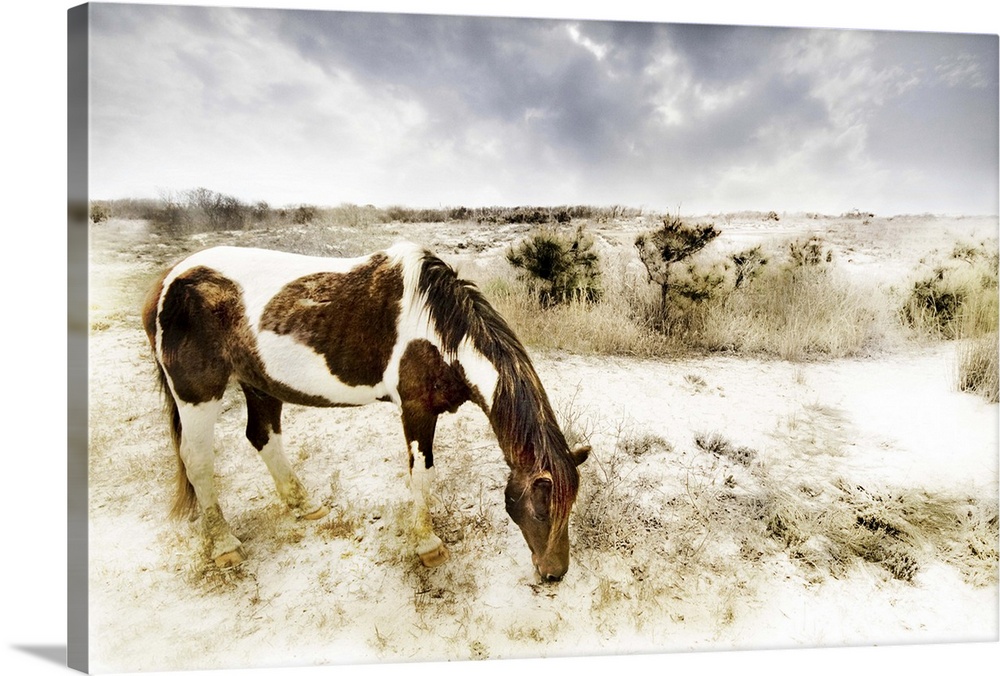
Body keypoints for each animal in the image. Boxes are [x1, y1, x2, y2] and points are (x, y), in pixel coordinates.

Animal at [145, 242, 588, 580]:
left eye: (569, 508)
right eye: (542, 510)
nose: (554, 574)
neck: (438, 328)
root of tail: (167, 281)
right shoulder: (416, 411)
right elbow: (422, 475)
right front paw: (427, 545)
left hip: (259, 383)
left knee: (263, 436)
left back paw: (304, 505)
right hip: (197, 394)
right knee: (198, 462)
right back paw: (224, 545)